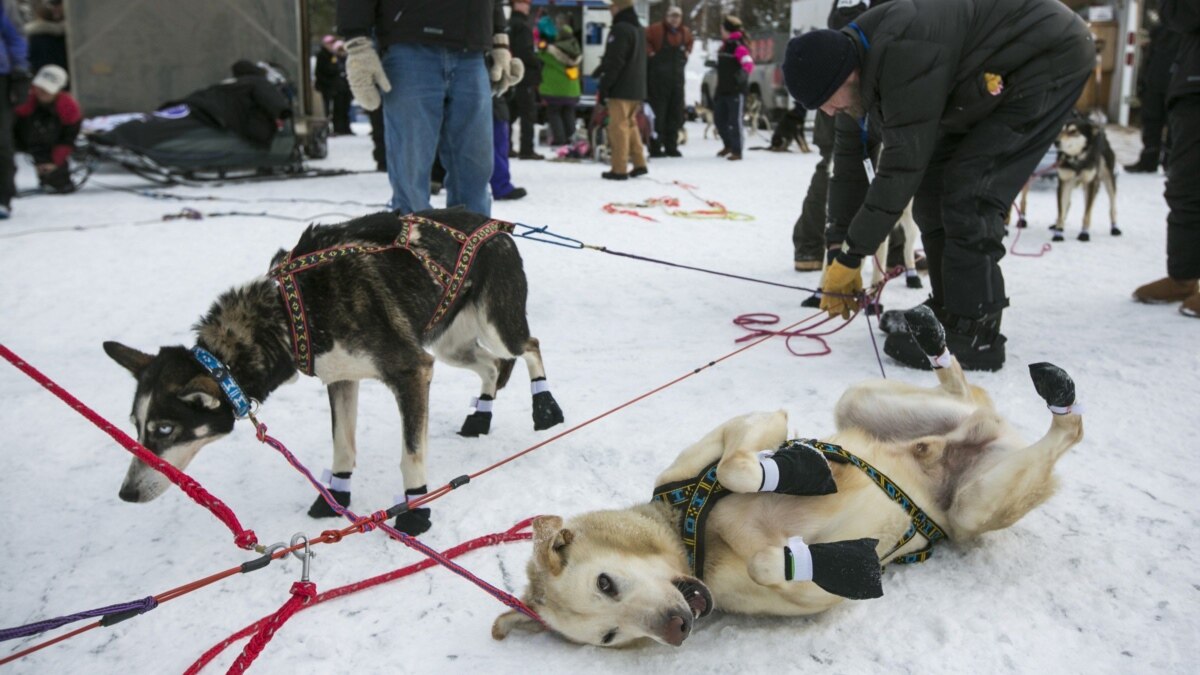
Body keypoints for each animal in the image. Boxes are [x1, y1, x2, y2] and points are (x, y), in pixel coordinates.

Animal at [105, 207, 564, 533]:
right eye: (136, 426)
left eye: (164, 429)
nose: (125, 493)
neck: (291, 310)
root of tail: (492, 223)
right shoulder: (342, 378)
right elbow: (343, 446)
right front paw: (336, 497)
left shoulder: (412, 370)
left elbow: (410, 456)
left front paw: (415, 510)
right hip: (450, 344)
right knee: (493, 365)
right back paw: (479, 416)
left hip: (494, 328)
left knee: (528, 347)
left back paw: (544, 406)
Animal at [492, 307, 1084, 643]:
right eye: (609, 636)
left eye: (606, 582)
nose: (677, 631)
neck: (695, 536)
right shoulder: (807, 600)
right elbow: (774, 565)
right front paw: (836, 561)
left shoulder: (744, 429)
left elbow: (739, 465)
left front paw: (794, 467)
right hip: (967, 490)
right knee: (992, 404)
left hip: (919, 451)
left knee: (1056, 423)